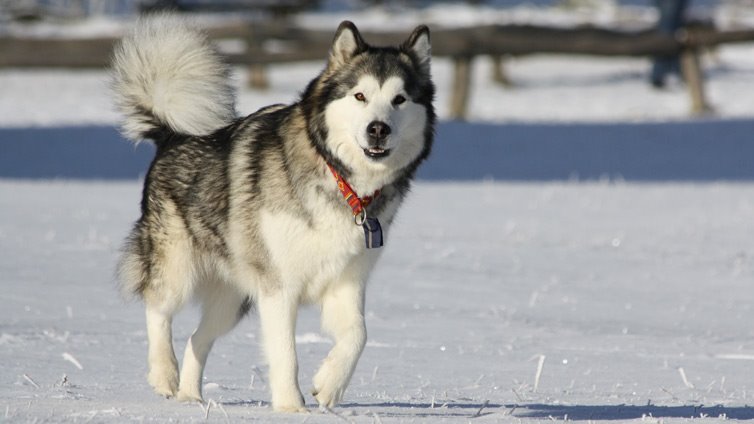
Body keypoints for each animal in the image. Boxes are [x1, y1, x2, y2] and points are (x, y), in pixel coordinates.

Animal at [114, 14, 438, 412]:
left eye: (399, 99)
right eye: (360, 96)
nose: (378, 129)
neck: (340, 180)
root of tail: (172, 135)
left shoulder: (346, 281)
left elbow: (358, 335)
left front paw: (328, 387)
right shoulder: (279, 287)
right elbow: (286, 353)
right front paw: (291, 407)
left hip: (232, 299)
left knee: (197, 338)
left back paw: (190, 398)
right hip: (177, 266)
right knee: (157, 307)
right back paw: (164, 374)